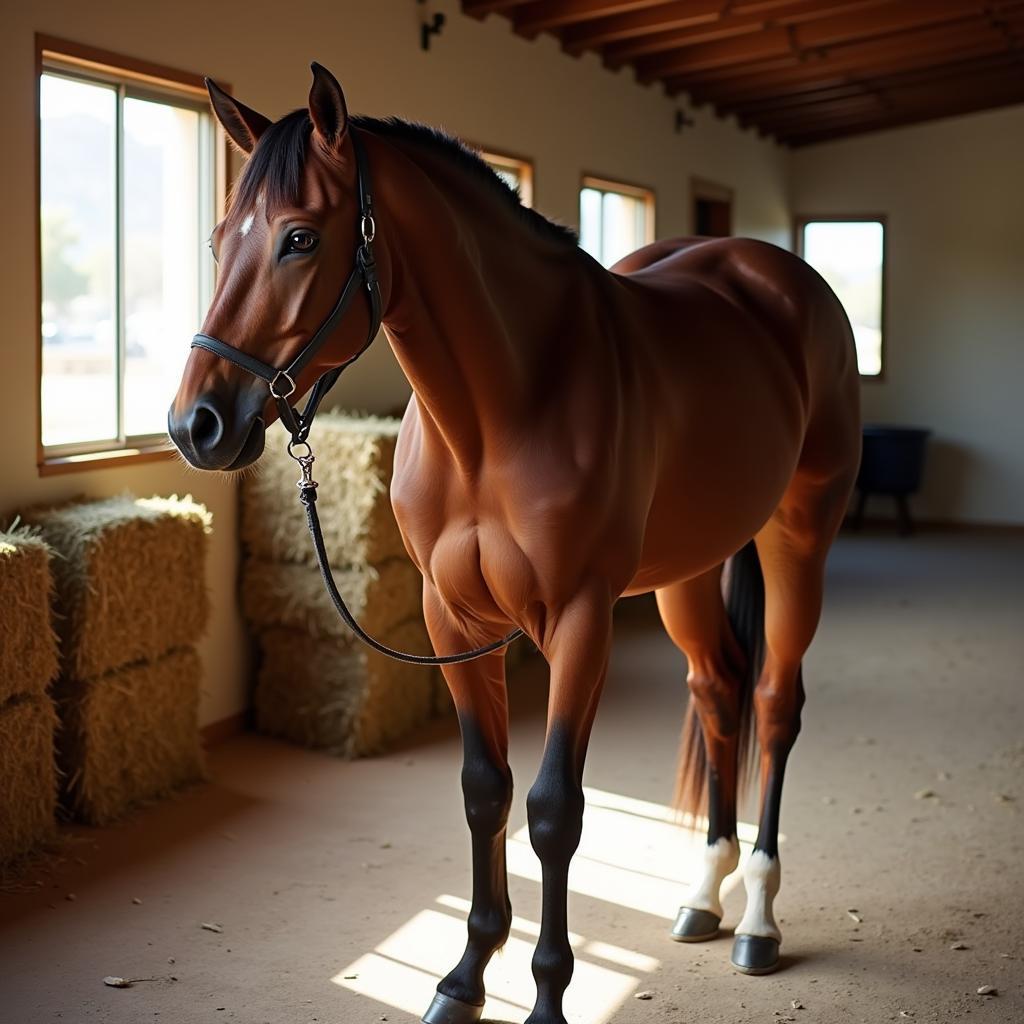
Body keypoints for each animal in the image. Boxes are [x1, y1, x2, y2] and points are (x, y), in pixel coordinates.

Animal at [169, 61, 864, 1024]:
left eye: (299, 238)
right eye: (217, 242)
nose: (195, 425)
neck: (502, 410)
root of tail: (781, 281)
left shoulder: (579, 621)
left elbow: (553, 809)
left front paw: (546, 994)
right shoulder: (452, 619)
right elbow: (484, 789)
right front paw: (464, 978)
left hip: (797, 538)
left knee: (772, 701)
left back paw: (758, 914)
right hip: (686, 573)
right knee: (720, 693)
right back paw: (703, 895)